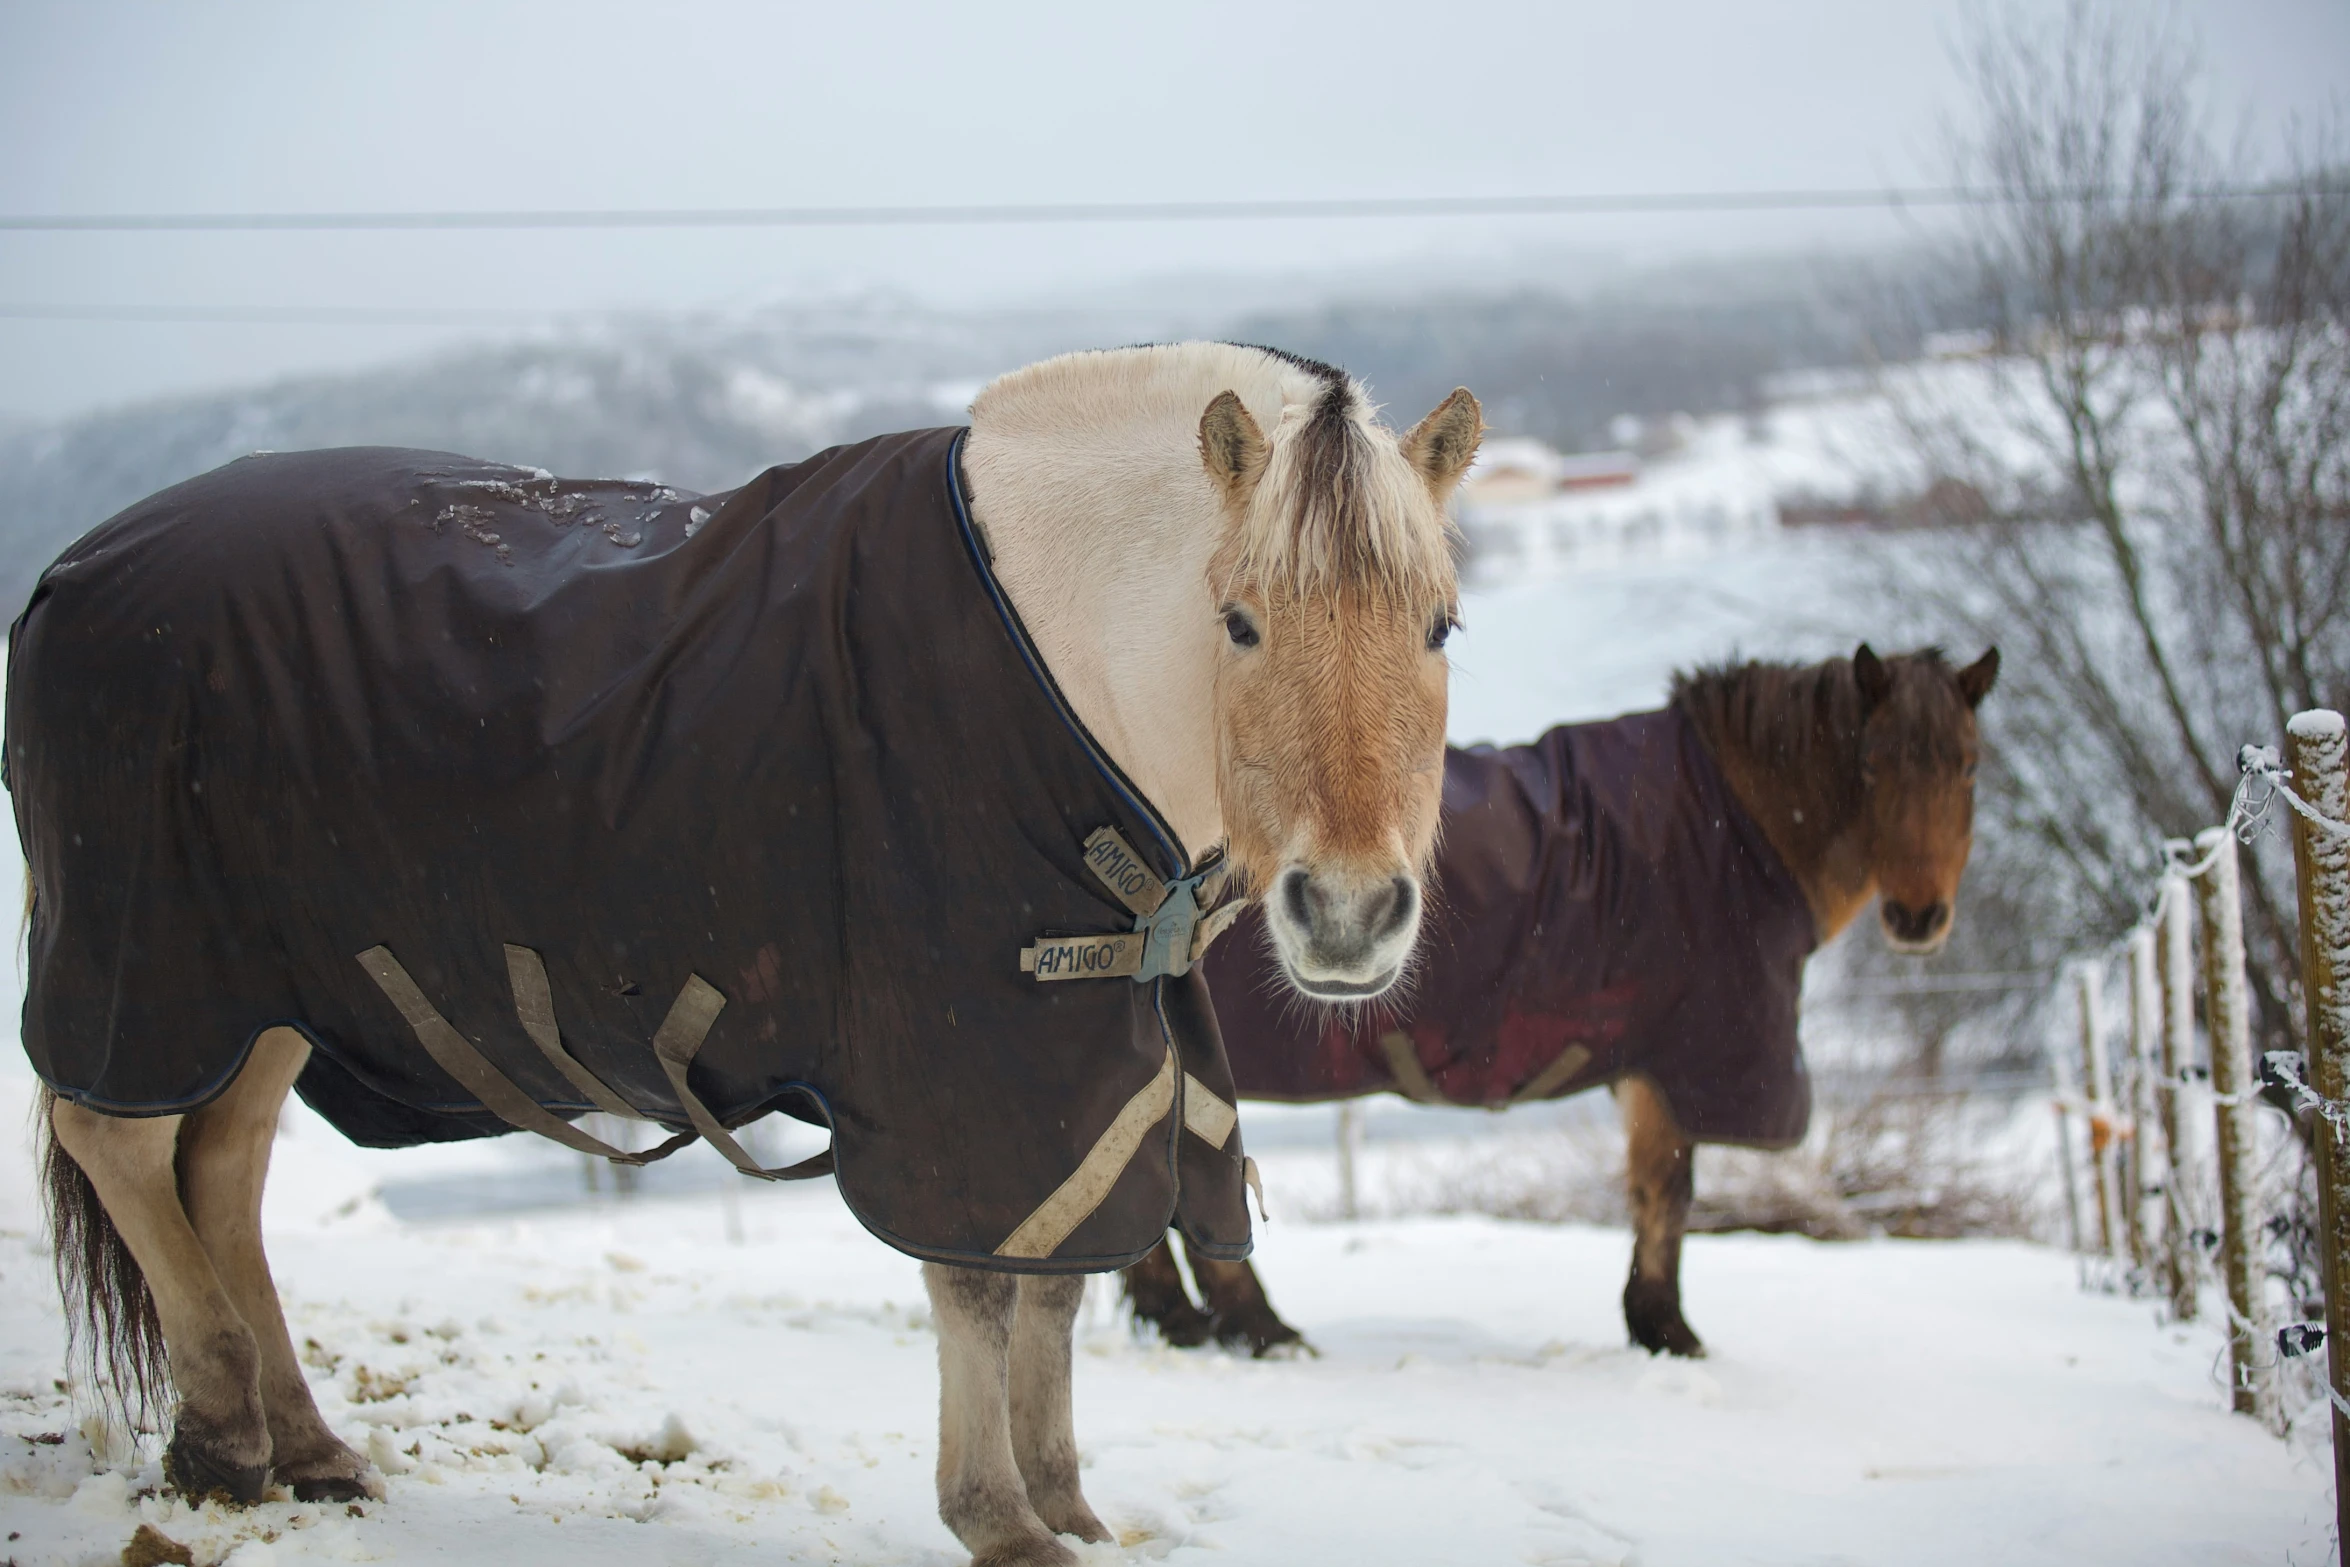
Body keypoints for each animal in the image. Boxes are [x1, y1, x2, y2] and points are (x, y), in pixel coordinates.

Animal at [13, 345, 1485, 1567]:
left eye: (1440, 623)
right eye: (1238, 620)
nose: (1347, 915)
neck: (1058, 660)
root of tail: (73, 569)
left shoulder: (1082, 1063)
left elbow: (1055, 1285)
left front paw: (1065, 1501)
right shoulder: (964, 1065)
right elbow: (977, 1284)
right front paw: (1000, 1518)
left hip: (262, 989)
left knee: (223, 1174)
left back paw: (307, 1445)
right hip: (154, 965)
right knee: (123, 1143)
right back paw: (223, 1437)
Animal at [1123, 648, 2002, 1362]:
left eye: (1967, 766)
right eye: (1873, 763)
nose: (1919, 917)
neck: (1733, 824)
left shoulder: (1653, 1064)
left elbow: (1656, 1191)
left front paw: (1655, 1323)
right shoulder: (1679, 1059)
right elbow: (1667, 1194)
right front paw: (1668, 1330)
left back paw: (1185, 1318)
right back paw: (1257, 1327)